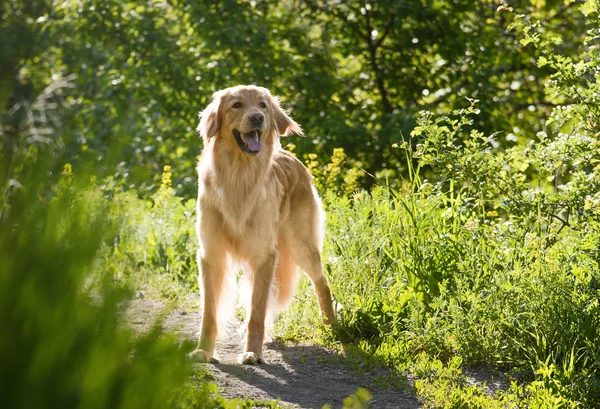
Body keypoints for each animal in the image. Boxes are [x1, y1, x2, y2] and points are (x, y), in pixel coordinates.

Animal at [190, 85, 336, 364]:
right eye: (236, 104)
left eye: (262, 105)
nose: (257, 118)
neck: (238, 176)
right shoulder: (211, 255)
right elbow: (209, 313)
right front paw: (203, 351)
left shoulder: (263, 256)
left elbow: (256, 313)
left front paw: (252, 353)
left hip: (301, 245)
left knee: (321, 282)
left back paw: (333, 326)